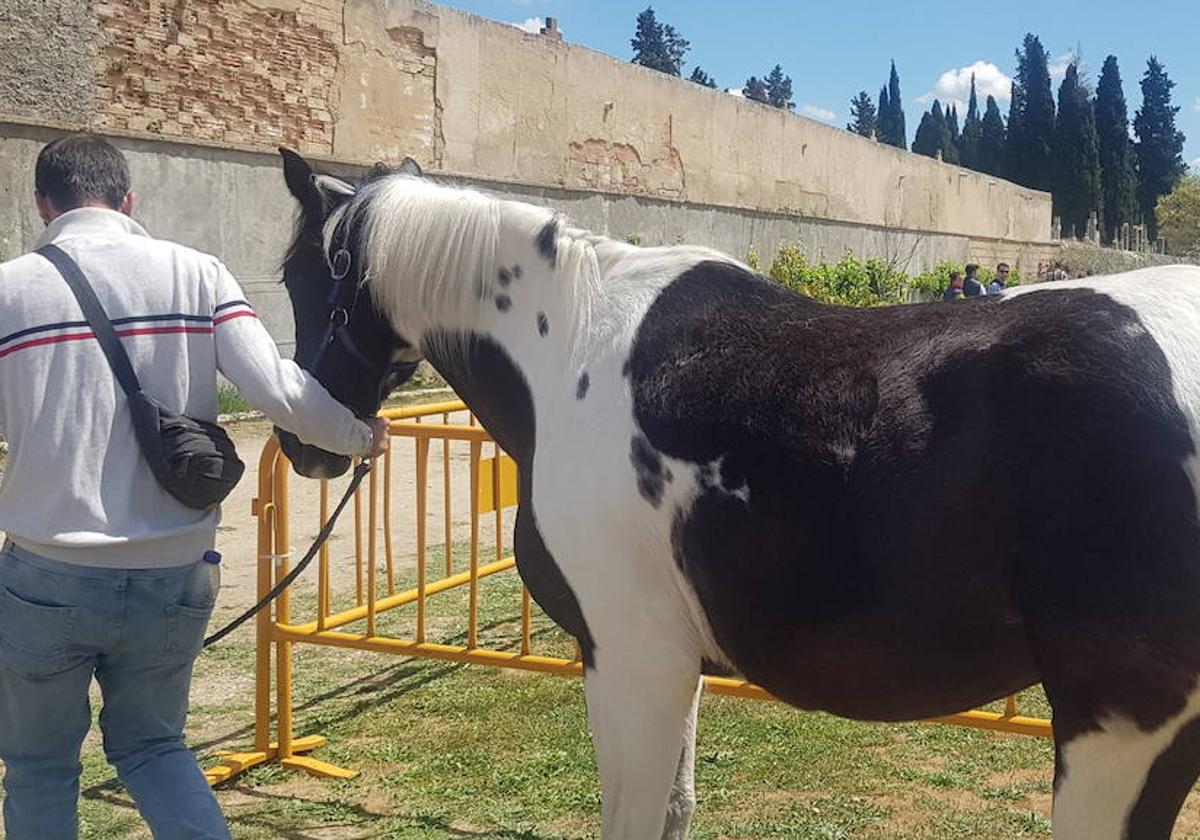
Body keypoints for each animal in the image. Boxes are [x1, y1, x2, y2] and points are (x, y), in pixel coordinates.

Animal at [274, 147, 1200, 835]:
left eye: (295, 278)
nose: (299, 444)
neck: (568, 346)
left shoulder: (630, 655)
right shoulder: (672, 662)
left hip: (1117, 729)